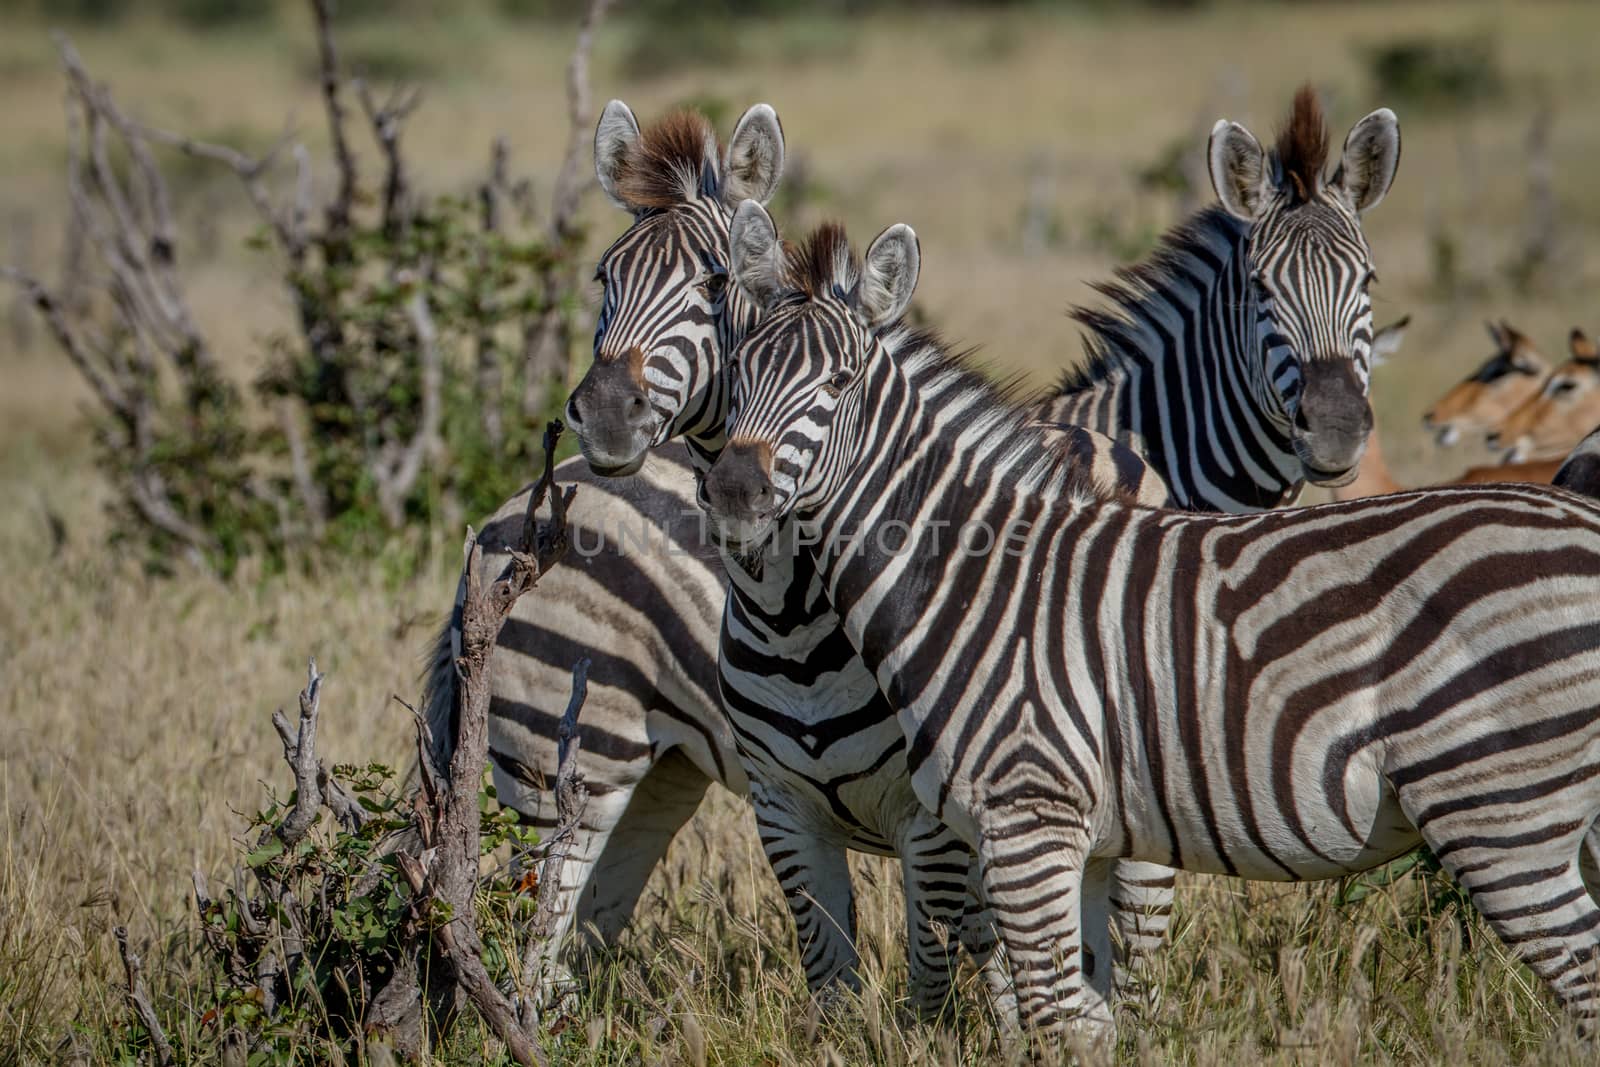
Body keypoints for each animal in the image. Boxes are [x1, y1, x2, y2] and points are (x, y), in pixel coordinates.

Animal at [707, 212, 1600, 1036]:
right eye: (737, 371)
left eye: (840, 381)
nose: (736, 492)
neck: (973, 574)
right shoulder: (1088, 838)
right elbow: (1090, 1014)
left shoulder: (1026, 815)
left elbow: (1057, 1019)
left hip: (1502, 811)